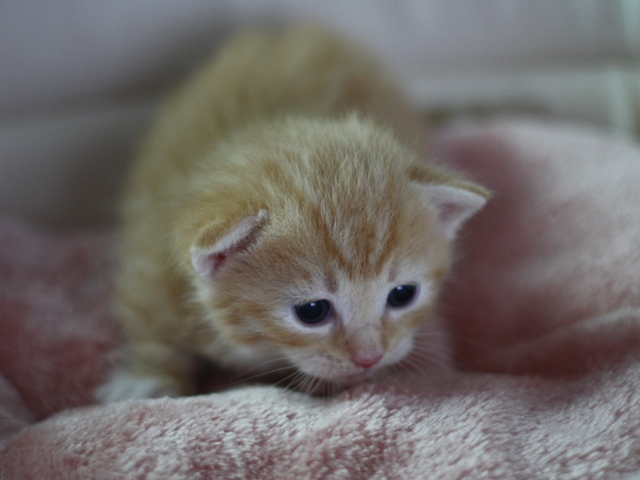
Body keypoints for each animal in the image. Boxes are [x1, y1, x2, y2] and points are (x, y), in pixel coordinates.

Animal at [97, 25, 490, 402]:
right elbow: (148, 320)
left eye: (402, 295)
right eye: (312, 311)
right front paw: (146, 377)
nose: (369, 357)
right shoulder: (151, 259)